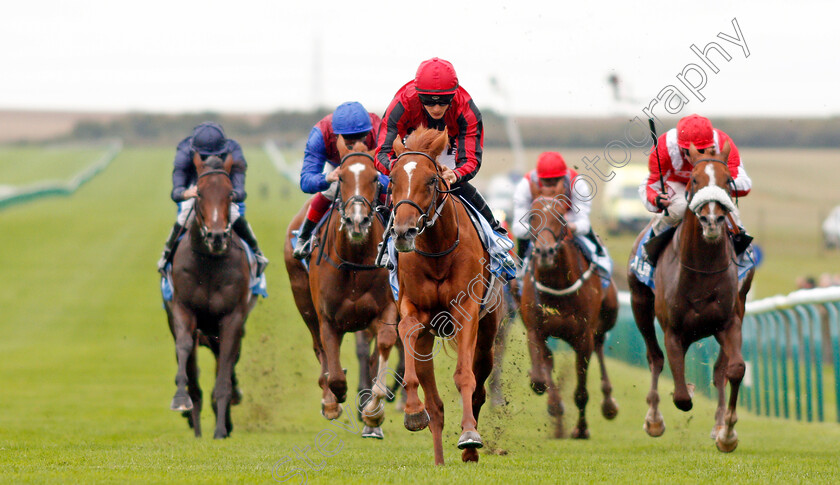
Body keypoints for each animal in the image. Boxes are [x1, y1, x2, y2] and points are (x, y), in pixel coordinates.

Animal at [284, 138, 398, 436]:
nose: (357, 221)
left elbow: (384, 345)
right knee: (319, 348)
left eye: (374, 178)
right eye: (342, 177)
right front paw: (333, 400)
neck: (355, 261)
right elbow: (333, 372)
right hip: (303, 302)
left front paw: (373, 412)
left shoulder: (387, 309)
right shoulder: (327, 318)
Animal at [388, 126, 502, 464]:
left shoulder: (466, 310)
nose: (404, 232)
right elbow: (406, 329)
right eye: (393, 178)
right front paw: (412, 411)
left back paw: (470, 450)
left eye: (430, 180)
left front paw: (469, 434)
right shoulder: (413, 308)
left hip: (487, 336)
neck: (438, 250)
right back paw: (438, 457)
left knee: (478, 387)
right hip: (427, 342)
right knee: (435, 407)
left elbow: (465, 376)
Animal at [520, 194, 620, 438]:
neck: (557, 287)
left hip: (605, 320)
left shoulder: (583, 337)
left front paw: (581, 429)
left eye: (561, 217)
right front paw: (554, 404)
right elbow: (541, 376)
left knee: (600, 345)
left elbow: (581, 392)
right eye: (532, 216)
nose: (545, 253)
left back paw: (609, 404)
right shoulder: (535, 329)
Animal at [624, 142, 756, 452]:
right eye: (695, 179)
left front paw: (727, 432)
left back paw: (718, 424)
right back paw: (654, 419)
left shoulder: (729, 322)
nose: (712, 220)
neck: (702, 270)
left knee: (720, 370)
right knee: (655, 357)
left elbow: (735, 370)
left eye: (727, 181)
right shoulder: (673, 331)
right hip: (639, 303)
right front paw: (681, 398)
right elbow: (682, 396)